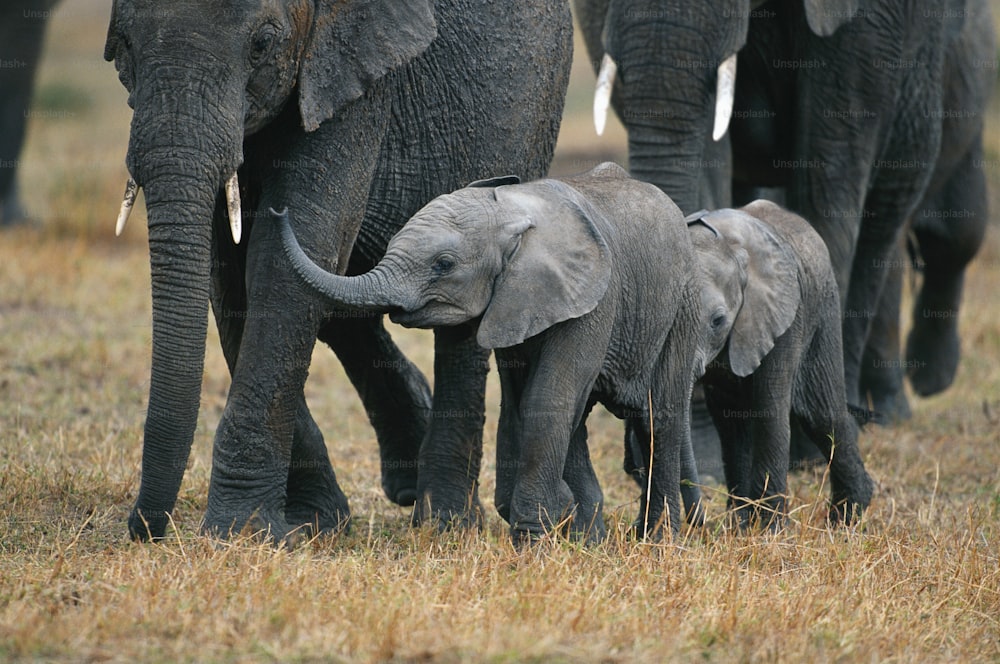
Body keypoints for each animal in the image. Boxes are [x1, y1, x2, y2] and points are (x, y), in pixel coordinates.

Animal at [105, 0, 576, 544]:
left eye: (262, 44)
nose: (144, 528)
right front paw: (313, 524)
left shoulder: (356, 77)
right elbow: (231, 276)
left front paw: (242, 532)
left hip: (531, 108)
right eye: (123, 44)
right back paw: (407, 481)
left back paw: (445, 521)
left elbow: (289, 255)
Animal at [278, 163, 708, 544]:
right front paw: (556, 523)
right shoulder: (514, 303)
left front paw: (533, 540)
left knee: (658, 418)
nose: (277, 210)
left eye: (444, 264)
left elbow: (548, 398)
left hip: (682, 306)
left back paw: (659, 543)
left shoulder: (596, 298)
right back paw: (591, 541)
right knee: (582, 420)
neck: (511, 212)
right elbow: (524, 399)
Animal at [576, 0, 996, 462]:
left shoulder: (867, 24)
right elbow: (709, 152)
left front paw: (807, 451)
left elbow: (831, 166)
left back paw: (901, 398)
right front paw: (708, 455)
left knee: (921, 223)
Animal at [628, 202, 872, 528]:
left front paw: (770, 529)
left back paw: (847, 517)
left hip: (822, 304)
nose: (700, 523)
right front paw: (747, 526)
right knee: (736, 422)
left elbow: (769, 407)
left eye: (718, 321)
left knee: (820, 410)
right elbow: (729, 417)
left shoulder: (781, 316)